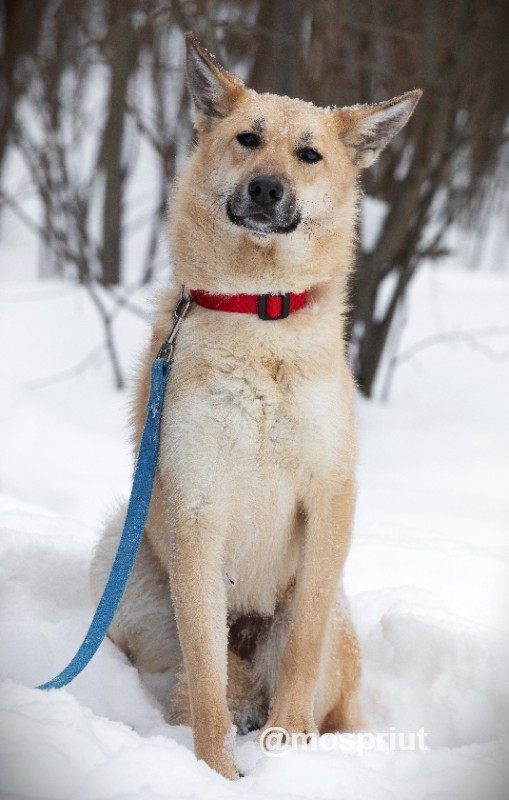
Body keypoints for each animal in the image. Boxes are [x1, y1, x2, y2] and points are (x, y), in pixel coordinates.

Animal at [91, 34, 420, 780]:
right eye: (248, 139)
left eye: (309, 154)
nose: (266, 188)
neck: (260, 315)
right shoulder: (195, 510)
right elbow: (207, 669)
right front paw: (214, 773)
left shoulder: (329, 497)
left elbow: (299, 651)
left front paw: (288, 746)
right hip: (122, 559)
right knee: (197, 677)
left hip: (328, 623)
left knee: (317, 687)